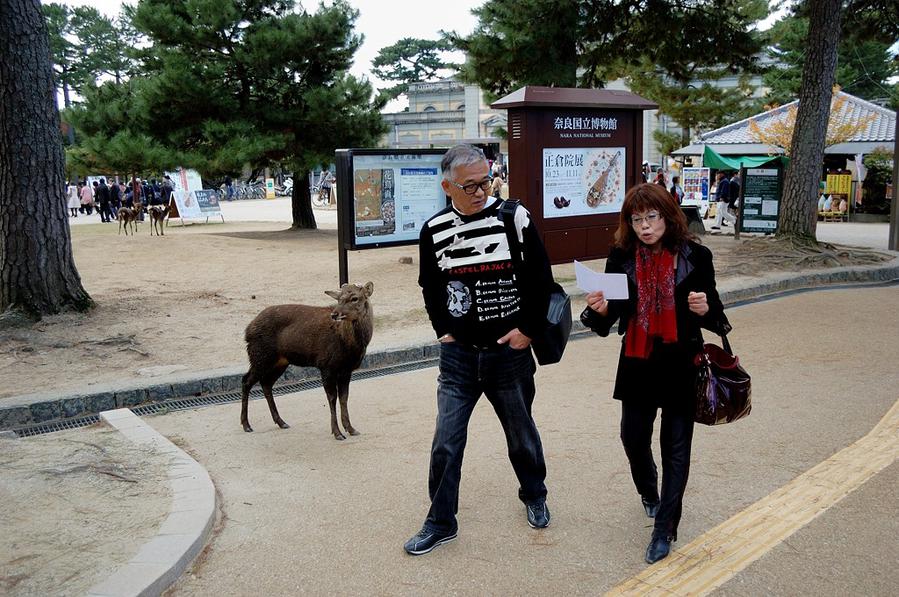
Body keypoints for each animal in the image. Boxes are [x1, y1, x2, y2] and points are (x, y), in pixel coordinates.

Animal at [239, 280, 372, 438]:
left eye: (355, 298)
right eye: (339, 298)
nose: (334, 314)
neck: (349, 346)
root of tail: (247, 330)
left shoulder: (347, 369)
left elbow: (344, 397)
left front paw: (351, 429)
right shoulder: (326, 365)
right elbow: (332, 398)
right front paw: (337, 433)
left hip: (279, 361)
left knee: (266, 383)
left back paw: (281, 422)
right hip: (260, 356)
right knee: (246, 381)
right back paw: (246, 425)